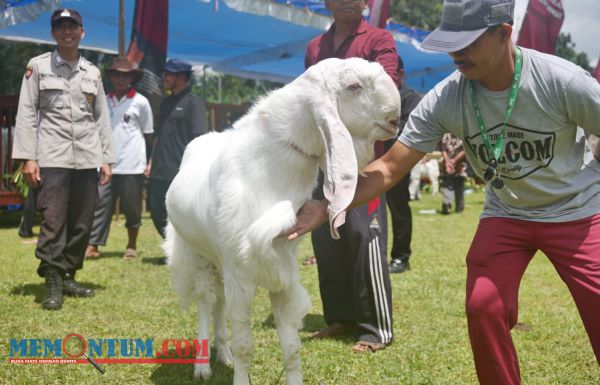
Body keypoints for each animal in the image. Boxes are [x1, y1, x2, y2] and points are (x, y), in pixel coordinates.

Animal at [162, 57, 400, 384]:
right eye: (353, 86)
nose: (395, 120)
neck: (271, 172)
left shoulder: (281, 271)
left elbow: (291, 346)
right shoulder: (241, 273)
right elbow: (244, 345)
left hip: (220, 263)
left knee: (219, 304)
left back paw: (222, 354)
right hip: (197, 256)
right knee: (206, 303)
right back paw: (202, 366)